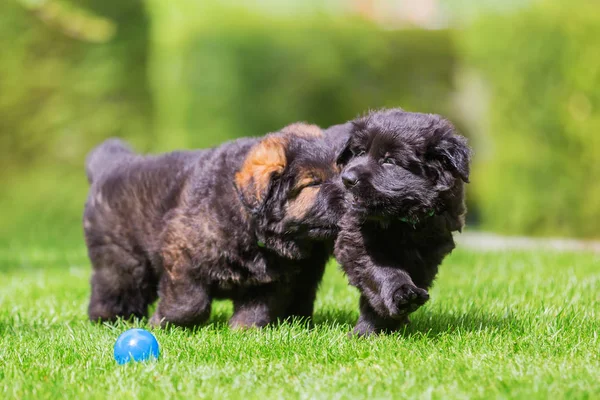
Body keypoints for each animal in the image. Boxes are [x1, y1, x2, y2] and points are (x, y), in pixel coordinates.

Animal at [85, 123, 346, 330]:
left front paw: (244, 331)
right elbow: (190, 303)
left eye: (342, 174)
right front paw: (162, 323)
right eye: (313, 183)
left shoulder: (272, 277)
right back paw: (108, 320)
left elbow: (258, 307)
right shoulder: (181, 254)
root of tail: (108, 167)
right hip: (123, 260)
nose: (349, 197)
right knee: (112, 289)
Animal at [330, 108, 472, 336]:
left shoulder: (429, 252)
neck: (402, 220)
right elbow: (382, 270)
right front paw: (399, 298)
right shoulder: (356, 240)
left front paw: (379, 325)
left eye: (389, 161)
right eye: (360, 152)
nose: (347, 179)